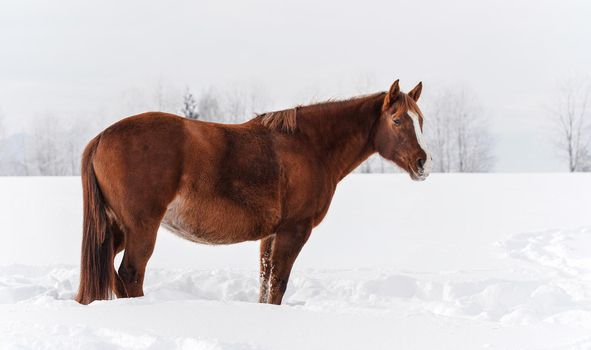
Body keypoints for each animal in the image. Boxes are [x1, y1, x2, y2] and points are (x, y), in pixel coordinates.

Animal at [76, 79, 432, 304]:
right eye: (397, 120)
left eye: (420, 120)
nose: (422, 163)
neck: (308, 145)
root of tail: (102, 137)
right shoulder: (293, 231)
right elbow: (278, 285)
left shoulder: (270, 235)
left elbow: (264, 283)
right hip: (141, 229)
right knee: (130, 275)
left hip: (116, 229)